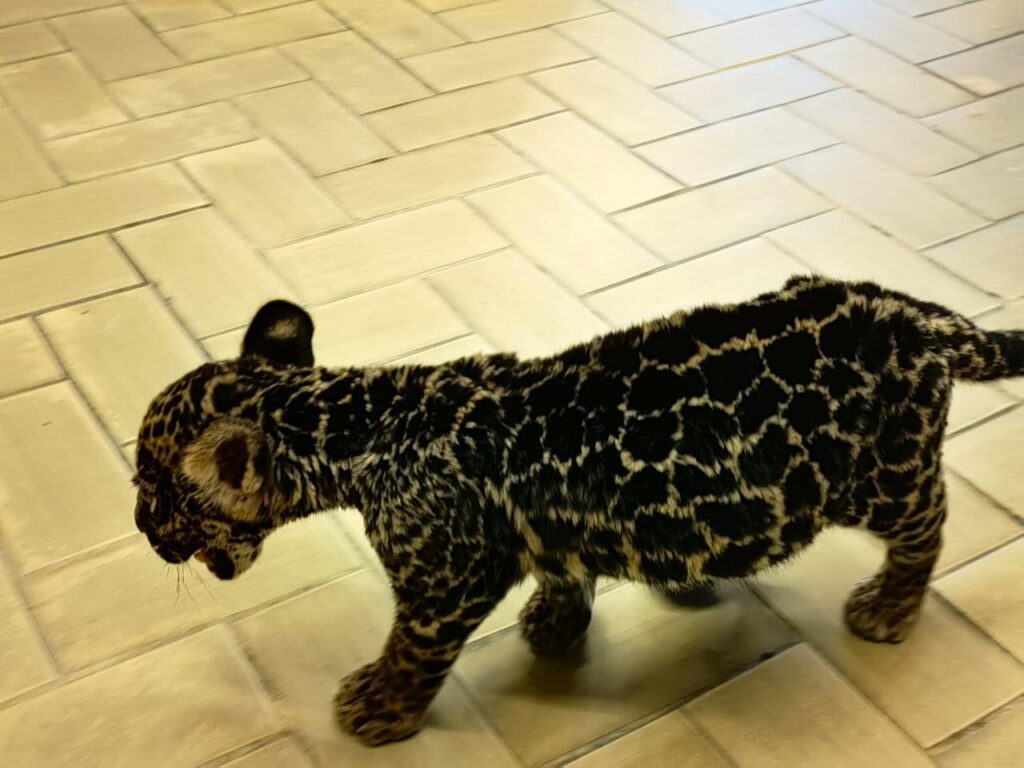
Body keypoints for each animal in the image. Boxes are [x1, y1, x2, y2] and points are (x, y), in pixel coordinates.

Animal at [132, 275, 1024, 746]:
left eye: (154, 488)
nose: (141, 529)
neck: (357, 425)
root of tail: (917, 312)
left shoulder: (444, 582)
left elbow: (413, 648)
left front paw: (378, 706)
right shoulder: (544, 525)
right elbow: (562, 567)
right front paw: (555, 622)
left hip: (886, 473)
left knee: (931, 522)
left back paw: (889, 606)